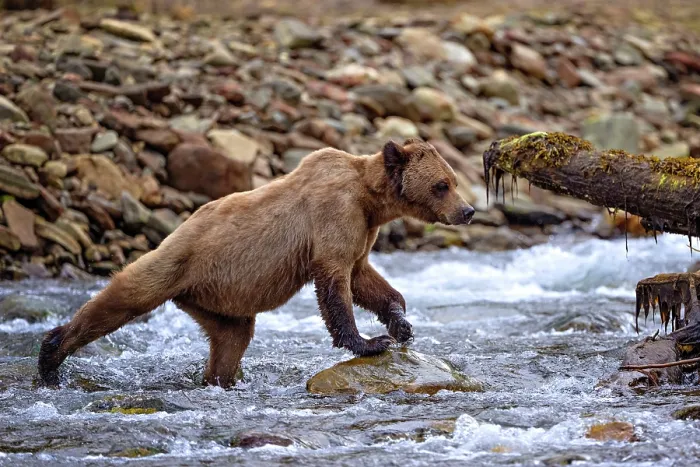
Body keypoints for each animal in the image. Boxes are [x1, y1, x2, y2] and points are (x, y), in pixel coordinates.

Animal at [38, 138, 475, 389]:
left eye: (453, 179)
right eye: (442, 184)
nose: (468, 210)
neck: (371, 200)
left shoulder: (362, 231)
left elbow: (364, 277)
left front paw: (401, 323)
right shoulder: (334, 215)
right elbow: (336, 281)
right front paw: (368, 342)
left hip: (215, 300)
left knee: (233, 339)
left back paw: (217, 380)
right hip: (176, 263)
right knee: (122, 298)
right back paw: (50, 355)